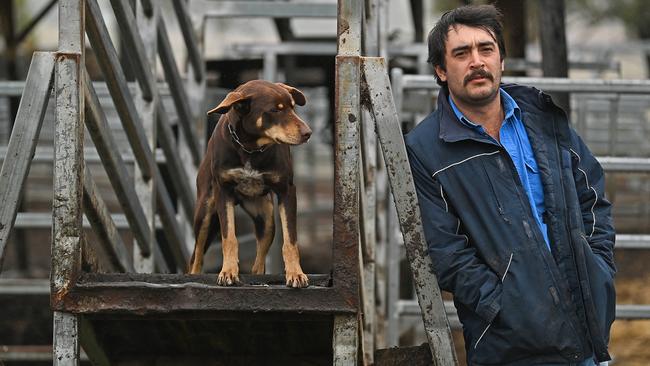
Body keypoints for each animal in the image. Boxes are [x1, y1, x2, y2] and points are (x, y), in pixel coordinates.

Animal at [187, 81, 312, 288]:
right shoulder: (223, 193)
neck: (250, 147)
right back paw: (195, 275)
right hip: (204, 213)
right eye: (275, 110)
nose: (308, 133)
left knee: (258, 262)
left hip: (266, 218)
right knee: (196, 255)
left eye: (293, 107)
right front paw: (228, 272)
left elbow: (290, 240)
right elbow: (229, 238)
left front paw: (296, 273)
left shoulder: (287, 191)